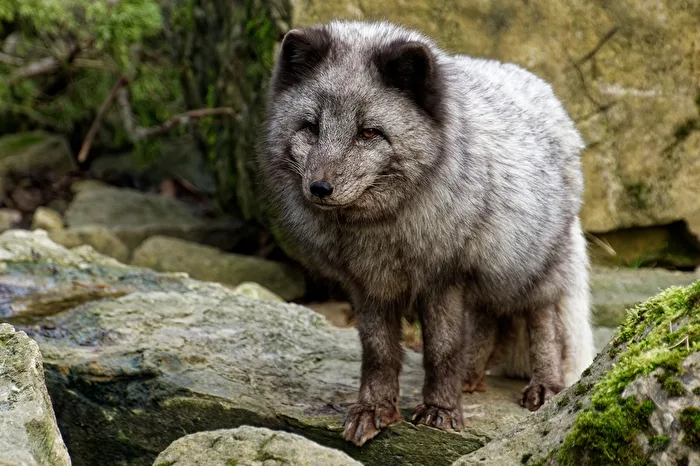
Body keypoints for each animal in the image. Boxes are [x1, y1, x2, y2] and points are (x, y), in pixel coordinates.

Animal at [258, 20, 594, 447]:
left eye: (368, 133)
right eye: (311, 127)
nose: (319, 188)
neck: (379, 229)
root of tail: (544, 92)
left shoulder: (444, 278)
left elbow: (442, 349)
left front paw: (441, 411)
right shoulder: (368, 285)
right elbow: (379, 351)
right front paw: (374, 409)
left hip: (533, 265)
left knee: (543, 322)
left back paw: (545, 386)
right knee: (488, 319)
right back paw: (470, 378)